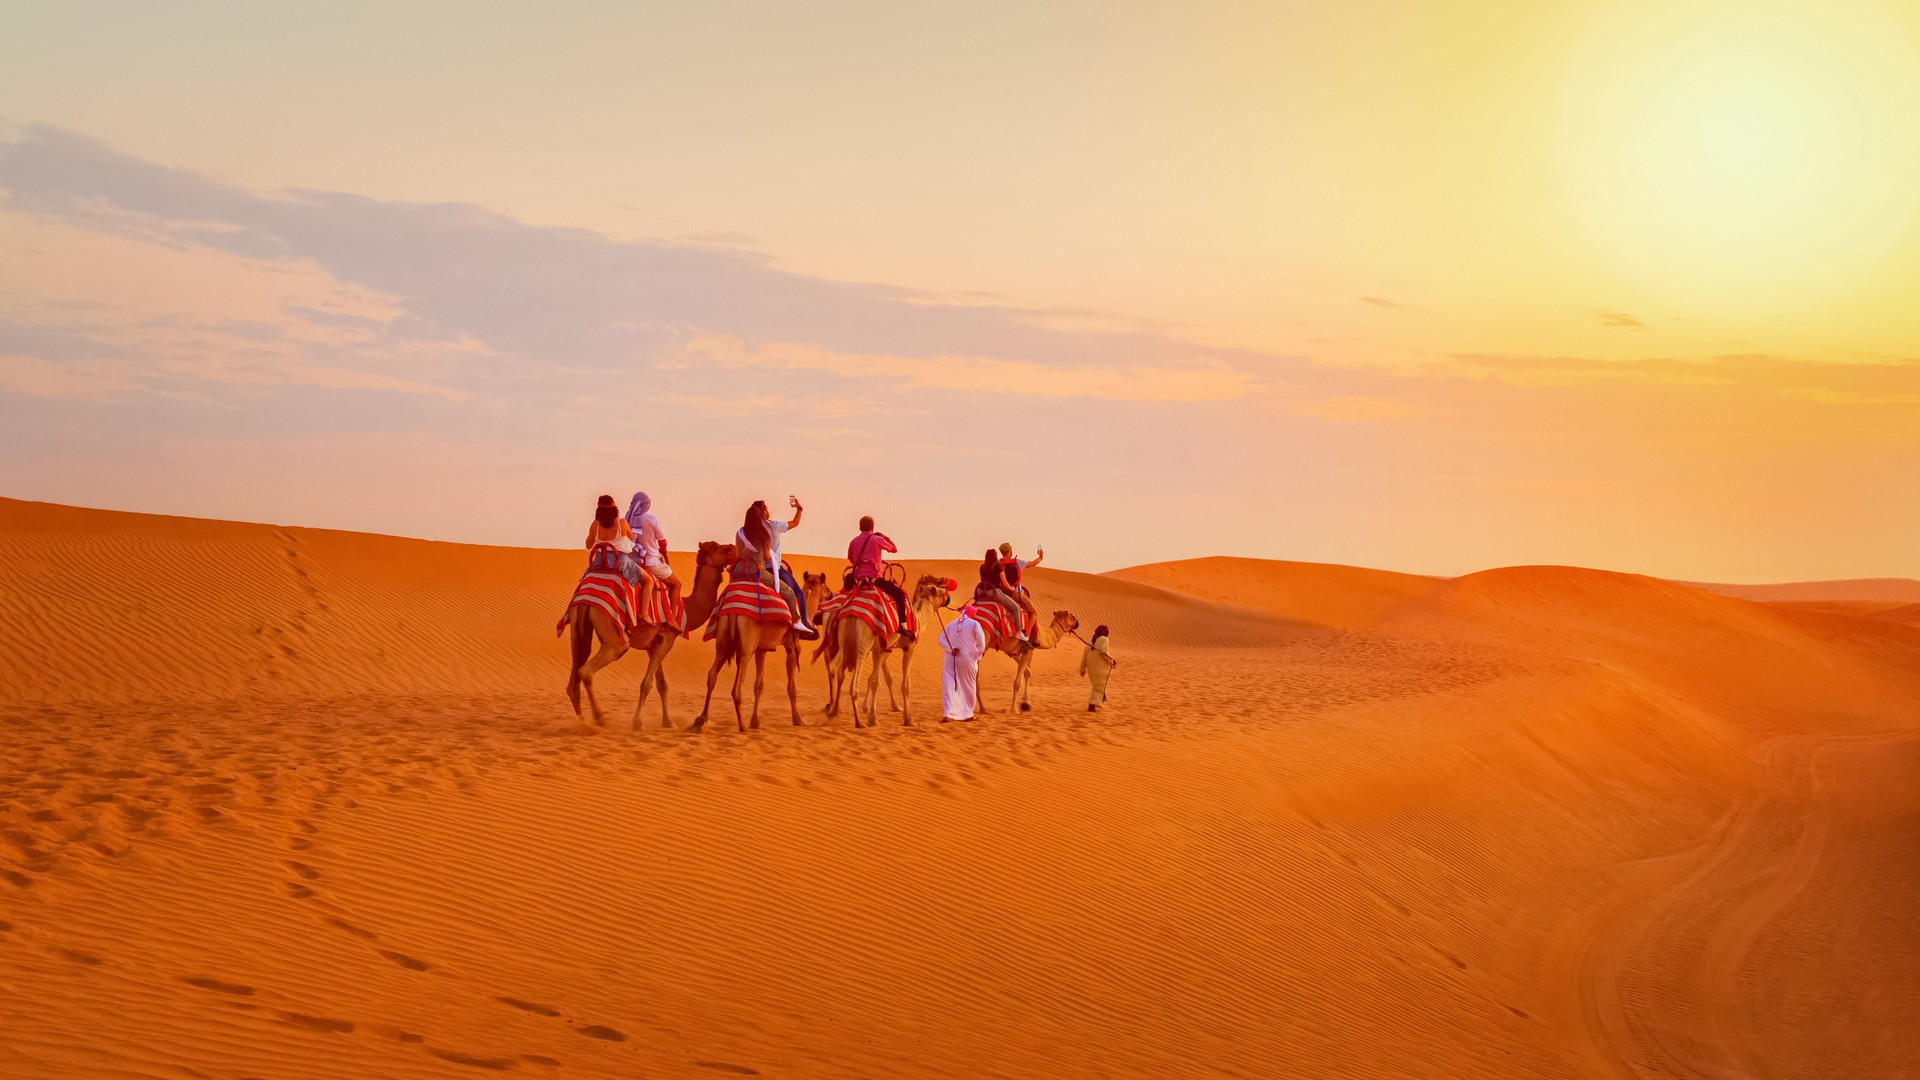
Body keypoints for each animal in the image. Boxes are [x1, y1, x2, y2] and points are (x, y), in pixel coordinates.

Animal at [564, 538, 729, 730]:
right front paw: (638, 722)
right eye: (718, 547)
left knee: (574, 676)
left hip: (577, 628)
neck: (686, 609)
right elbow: (647, 683)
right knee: (587, 671)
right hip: (615, 641)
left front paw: (668, 722)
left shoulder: (655, 643)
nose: (733, 549)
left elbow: (662, 684)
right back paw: (600, 718)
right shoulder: (667, 640)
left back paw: (581, 722)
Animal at [691, 545, 802, 730]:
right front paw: (798, 719)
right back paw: (741, 725)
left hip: (725, 642)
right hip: (746, 648)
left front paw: (755, 721)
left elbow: (759, 685)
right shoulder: (791, 646)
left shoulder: (761, 649)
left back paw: (701, 720)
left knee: (712, 675)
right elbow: (791, 687)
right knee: (736, 687)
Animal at [814, 572, 956, 722]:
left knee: (835, 669)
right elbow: (898, 683)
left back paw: (834, 709)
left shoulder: (885, 648)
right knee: (837, 669)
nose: (947, 594)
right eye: (940, 588)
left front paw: (888, 707)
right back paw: (834, 708)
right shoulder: (908, 647)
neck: (916, 618)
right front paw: (906, 717)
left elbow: (884, 678)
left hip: (841, 643)